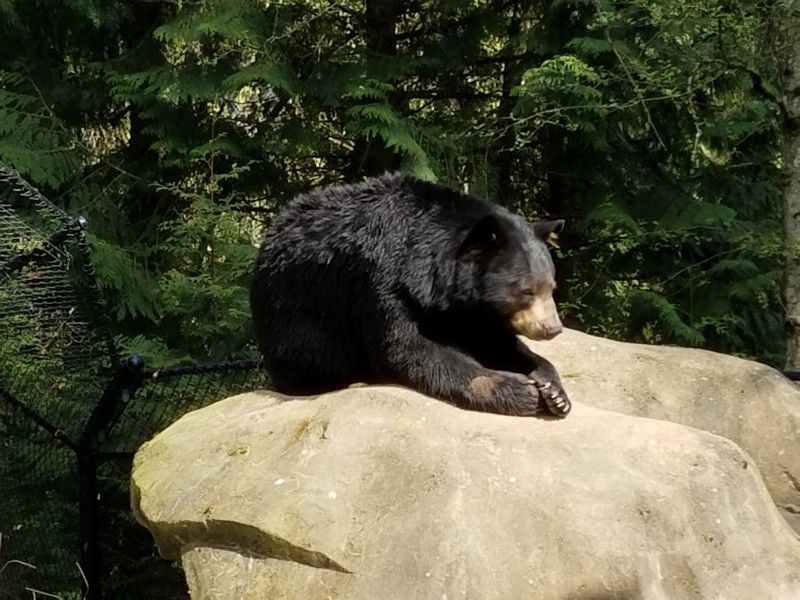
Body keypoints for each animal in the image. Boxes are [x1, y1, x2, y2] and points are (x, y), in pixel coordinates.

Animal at [250, 172, 568, 418]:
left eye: (551, 287)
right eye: (526, 291)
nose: (552, 328)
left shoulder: (468, 309)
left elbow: (495, 341)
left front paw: (554, 391)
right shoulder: (381, 279)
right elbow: (408, 347)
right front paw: (520, 390)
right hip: (292, 316)